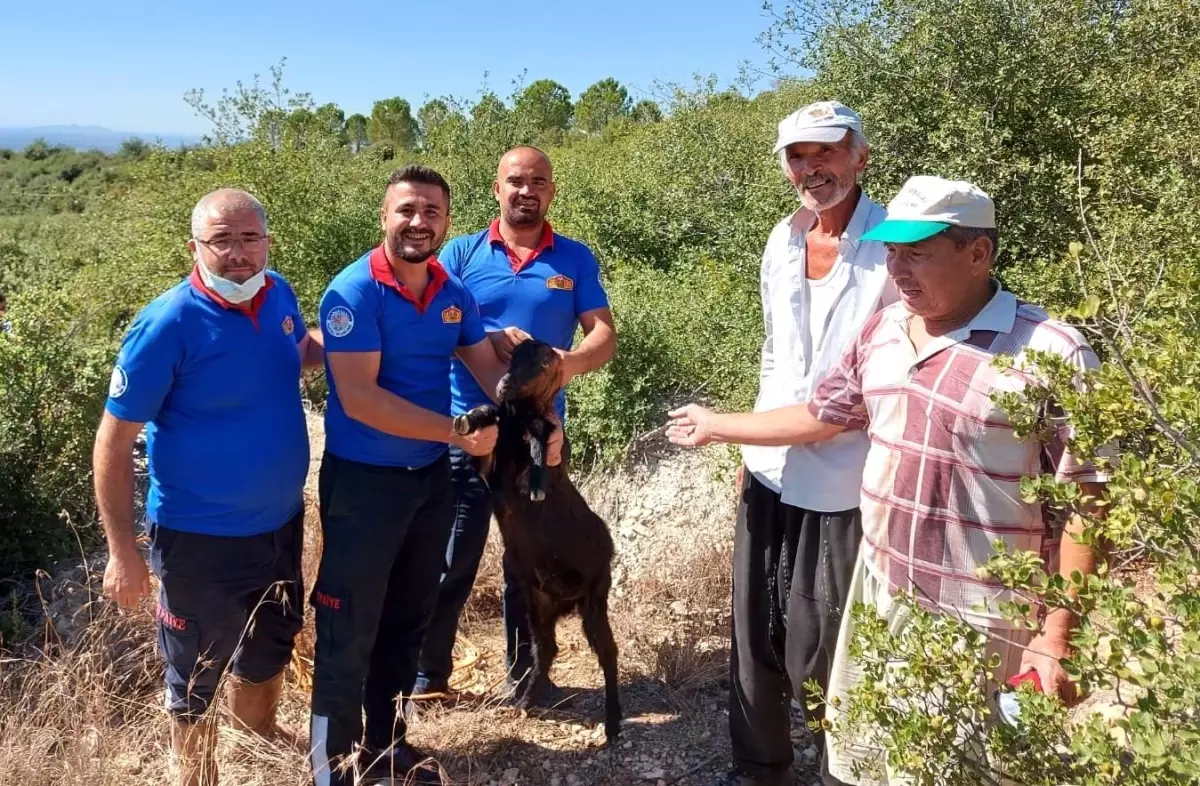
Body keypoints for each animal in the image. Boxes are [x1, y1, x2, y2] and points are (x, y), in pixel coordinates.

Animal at [448, 340, 619, 744]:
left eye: (543, 362)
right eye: (512, 357)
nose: (504, 385)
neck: (517, 423)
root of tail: (564, 602)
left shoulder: (543, 435)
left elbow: (543, 430)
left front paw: (538, 482)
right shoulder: (489, 468)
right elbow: (485, 427)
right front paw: (469, 420)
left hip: (595, 597)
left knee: (608, 654)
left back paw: (614, 722)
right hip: (538, 604)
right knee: (548, 650)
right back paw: (524, 702)